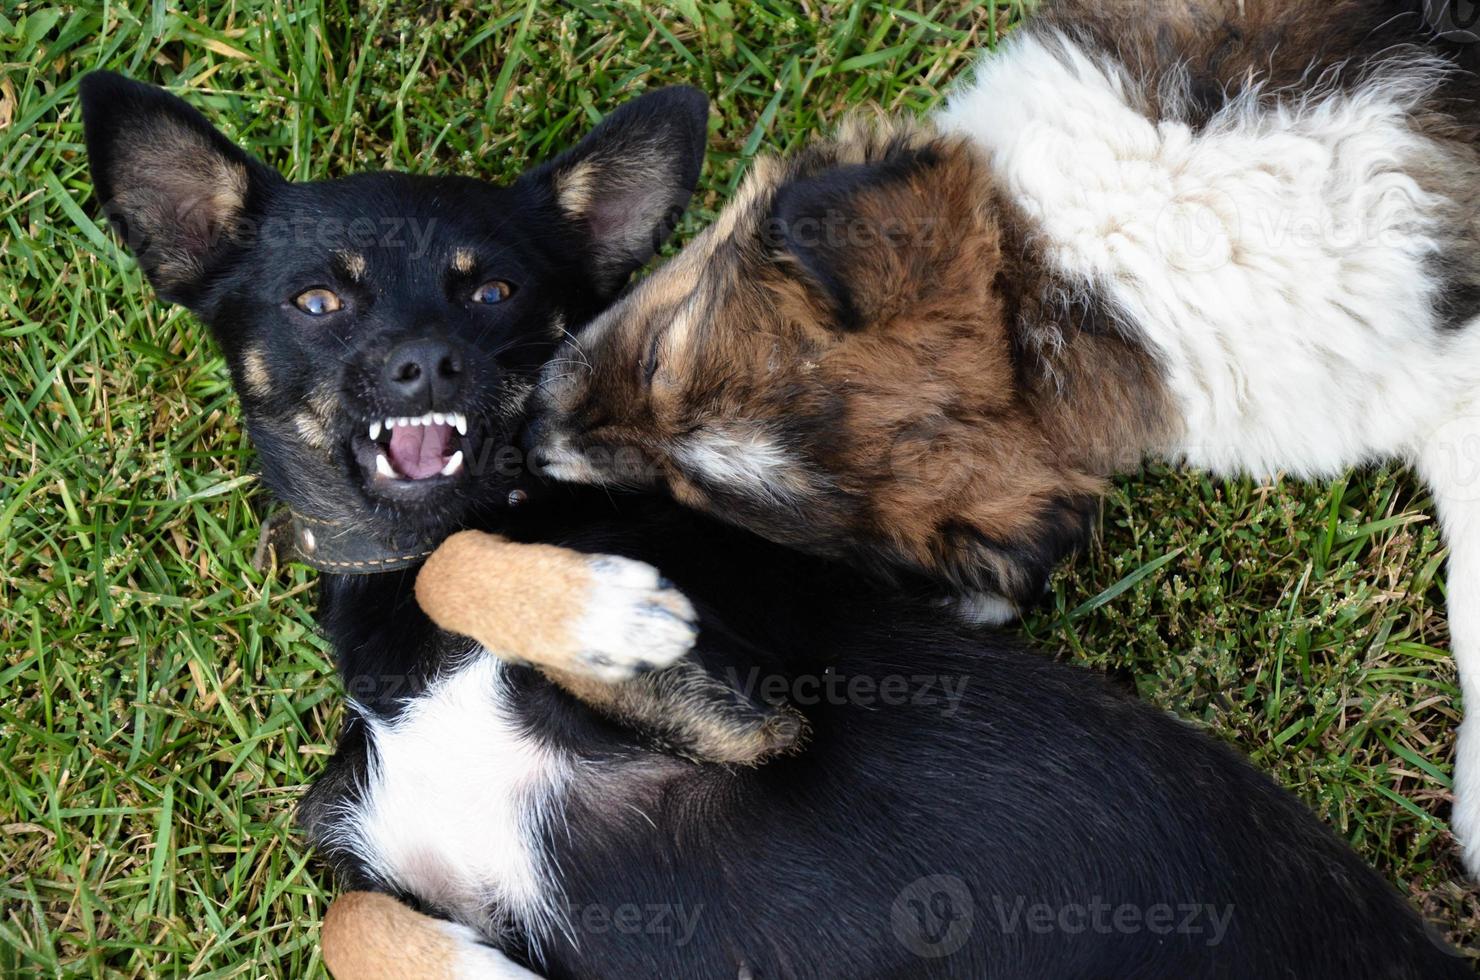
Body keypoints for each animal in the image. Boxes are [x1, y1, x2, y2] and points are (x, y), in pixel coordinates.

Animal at [81, 72, 1468, 977]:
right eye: (318, 300)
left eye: (496, 290)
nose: (427, 364)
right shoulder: (372, 853)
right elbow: (349, 916)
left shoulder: (752, 701)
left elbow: (460, 566)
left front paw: (600, 607)